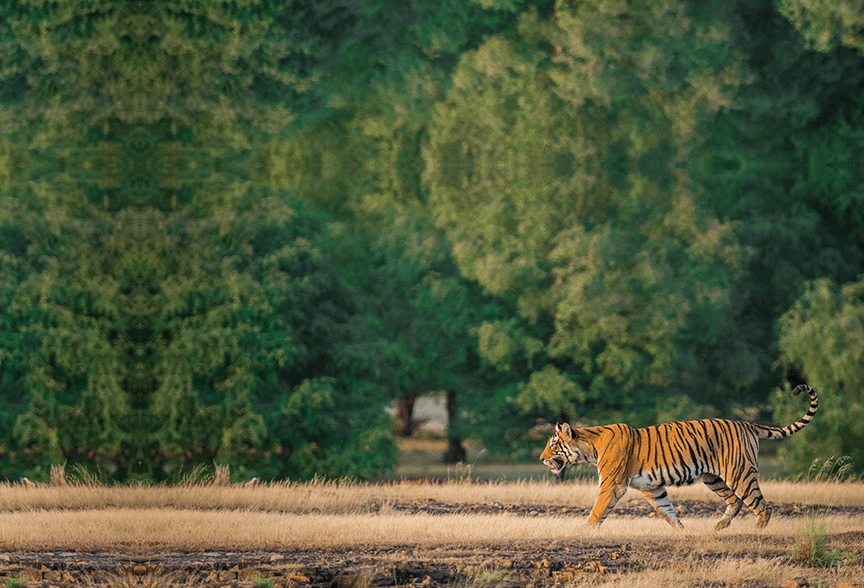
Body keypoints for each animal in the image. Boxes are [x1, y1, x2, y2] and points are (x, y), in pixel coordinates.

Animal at [540, 384, 816, 532]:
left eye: (553, 444)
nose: (542, 459)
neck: (590, 447)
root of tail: (746, 423)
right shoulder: (652, 488)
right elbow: (667, 511)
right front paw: (682, 532)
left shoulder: (611, 485)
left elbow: (598, 510)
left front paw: (584, 531)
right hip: (713, 478)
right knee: (735, 501)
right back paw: (719, 527)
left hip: (740, 474)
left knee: (762, 505)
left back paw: (757, 531)